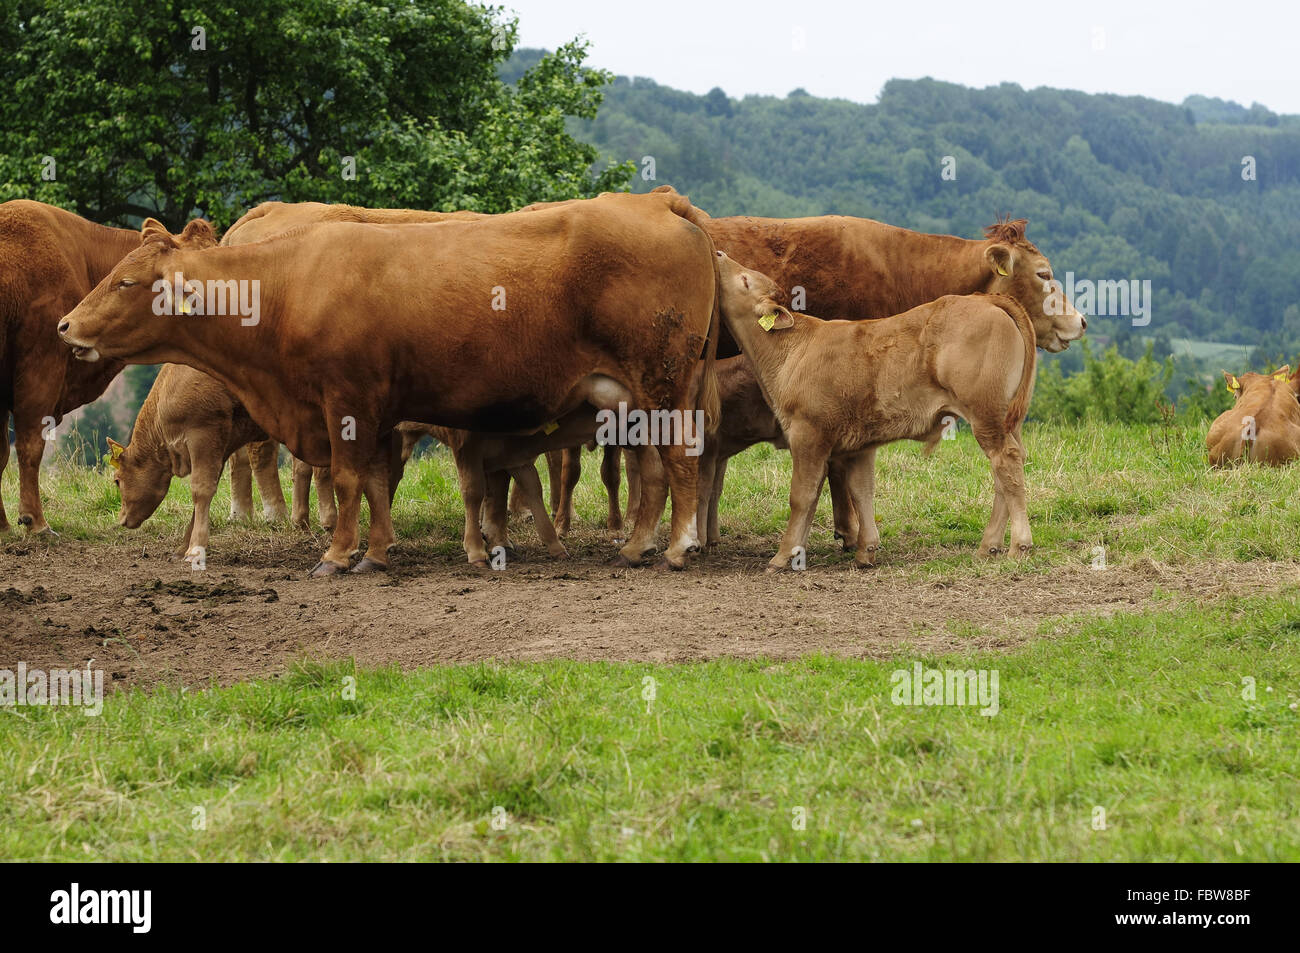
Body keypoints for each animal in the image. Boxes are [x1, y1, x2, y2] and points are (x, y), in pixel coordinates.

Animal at [61, 188, 722, 569]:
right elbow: (377, 483)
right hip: (638, 398)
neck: (288, 284)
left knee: (680, 461)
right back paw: (636, 546)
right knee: (655, 471)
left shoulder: (346, 403)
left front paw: (335, 555)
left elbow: (348, 479)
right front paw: (375, 554)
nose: (66, 325)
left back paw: (677, 548)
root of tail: (659, 204)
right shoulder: (377, 414)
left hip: (663, 385)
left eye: (125, 281)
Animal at [712, 249, 1034, 569]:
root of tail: (984, 299)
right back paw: (988, 546)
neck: (792, 349)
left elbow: (802, 495)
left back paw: (1019, 545)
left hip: (985, 413)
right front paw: (865, 550)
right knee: (1007, 469)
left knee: (1006, 461)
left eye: (745, 280)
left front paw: (783, 555)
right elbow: (860, 490)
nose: (719, 252)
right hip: (1007, 419)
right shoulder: (859, 443)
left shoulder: (807, 433)